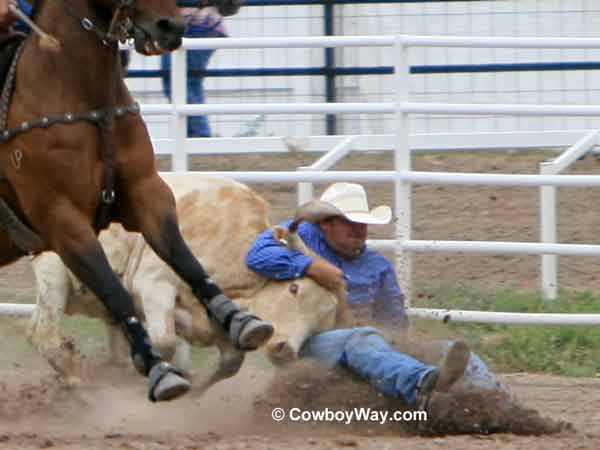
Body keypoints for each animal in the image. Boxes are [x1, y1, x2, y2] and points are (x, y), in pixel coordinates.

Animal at [0, 0, 272, 400]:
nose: (169, 26)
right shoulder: (63, 222)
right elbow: (117, 295)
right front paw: (158, 369)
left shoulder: (146, 193)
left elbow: (185, 259)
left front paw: (239, 319)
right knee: (45, 333)